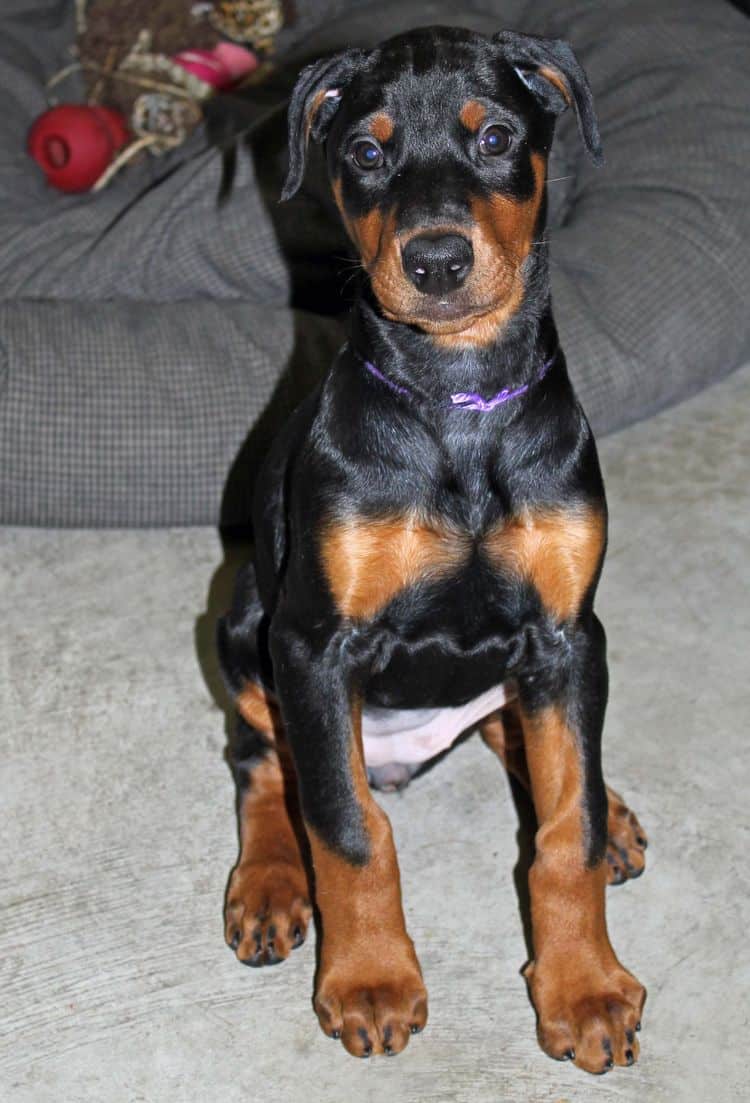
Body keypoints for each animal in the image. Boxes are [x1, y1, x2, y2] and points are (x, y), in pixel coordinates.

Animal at [215, 25, 644, 1072]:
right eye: (367, 152)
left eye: (494, 137)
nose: (439, 261)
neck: (459, 394)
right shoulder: (314, 644)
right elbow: (347, 827)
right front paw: (370, 979)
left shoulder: (569, 633)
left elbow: (565, 827)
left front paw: (585, 988)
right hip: (242, 620)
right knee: (263, 760)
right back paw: (269, 882)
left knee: (517, 733)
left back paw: (615, 811)